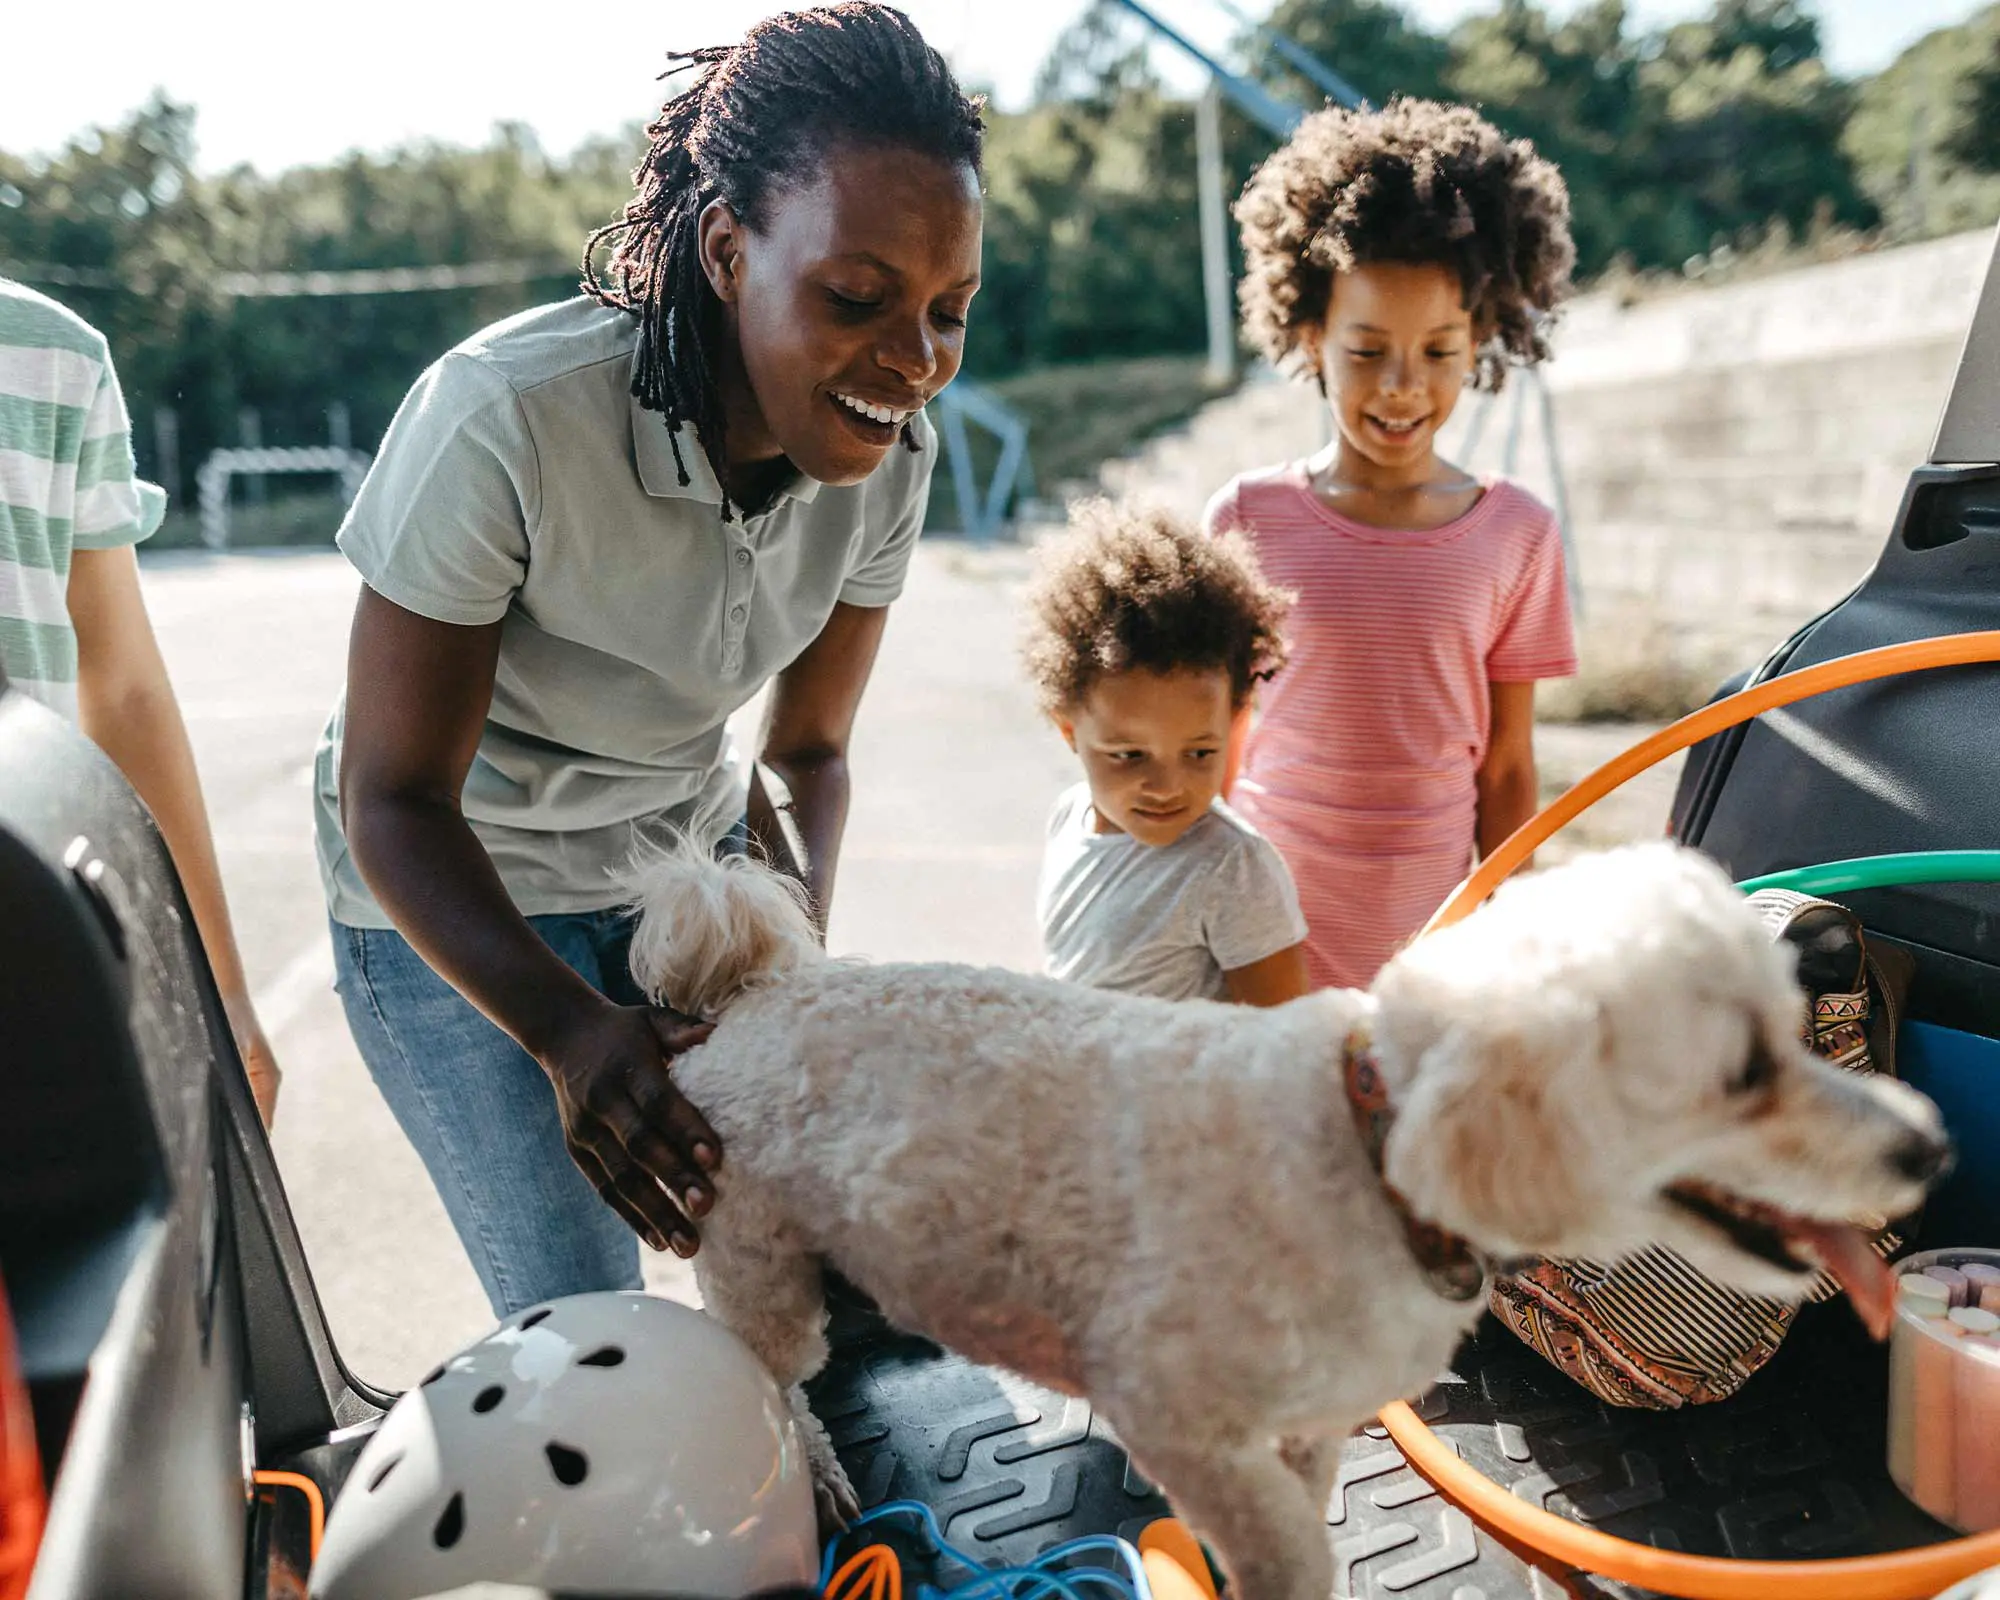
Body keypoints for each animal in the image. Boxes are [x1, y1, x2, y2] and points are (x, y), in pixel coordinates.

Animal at [620, 836, 1936, 1600]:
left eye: (1802, 1022)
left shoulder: (1302, 1426)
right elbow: (1283, 1555)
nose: (1925, 1147)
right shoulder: (1177, 1414)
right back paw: (815, 1470)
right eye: (1738, 1070)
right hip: (756, 1252)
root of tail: (752, 992)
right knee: (773, 1371)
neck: (1369, 1154)